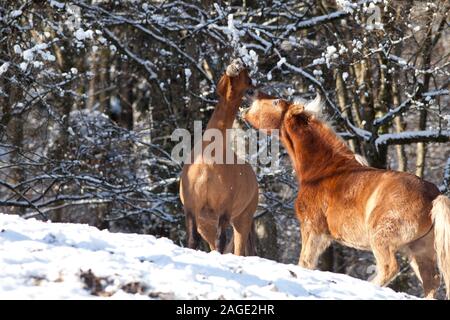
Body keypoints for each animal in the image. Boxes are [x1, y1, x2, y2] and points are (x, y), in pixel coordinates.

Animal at [178, 58, 256, 256]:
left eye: (247, 77)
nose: (237, 63)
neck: (209, 160)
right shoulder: (191, 208)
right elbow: (192, 240)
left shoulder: (224, 210)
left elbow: (221, 242)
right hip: (206, 224)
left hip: (242, 220)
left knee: (237, 249)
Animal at [244, 91, 450, 298]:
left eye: (275, 102)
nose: (252, 98)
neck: (323, 170)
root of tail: (434, 197)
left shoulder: (312, 229)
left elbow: (305, 262)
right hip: (419, 251)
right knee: (432, 281)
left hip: (382, 240)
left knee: (389, 268)